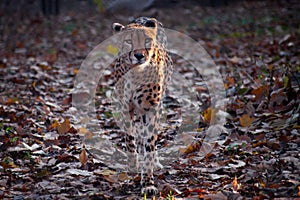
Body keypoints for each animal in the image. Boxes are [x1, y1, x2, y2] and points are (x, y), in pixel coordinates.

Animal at [112, 17, 173, 195]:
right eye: (128, 41)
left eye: (146, 40)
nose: (139, 55)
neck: (136, 72)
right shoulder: (126, 108)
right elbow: (130, 140)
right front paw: (133, 166)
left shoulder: (152, 110)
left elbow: (150, 144)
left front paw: (148, 182)